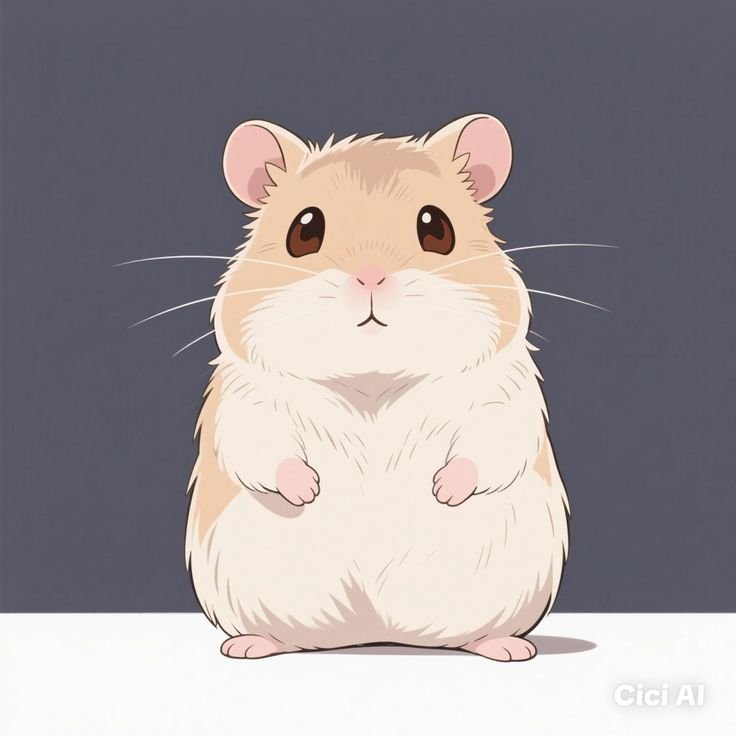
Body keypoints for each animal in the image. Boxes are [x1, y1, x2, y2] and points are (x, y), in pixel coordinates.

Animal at [185, 114, 569, 661]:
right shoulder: (245, 405)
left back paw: (510, 649)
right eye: (304, 230)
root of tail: (374, 634)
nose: (371, 277)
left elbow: (488, 448)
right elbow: (264, 451)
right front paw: (309, 489)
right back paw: (246, 647)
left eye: (436, 227)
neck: (373, 382)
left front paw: (443, 490)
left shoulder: (504, 400)